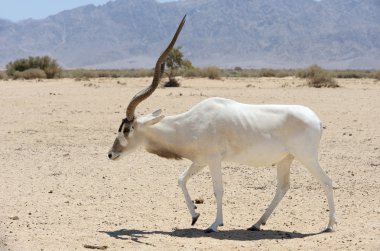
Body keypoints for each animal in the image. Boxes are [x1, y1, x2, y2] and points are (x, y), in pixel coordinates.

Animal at [108, 14, 336, 232]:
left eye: (127, 129)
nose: (111, 154)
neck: (189, 123)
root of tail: (316, 119)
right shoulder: (200, 160)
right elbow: (181, 179)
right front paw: (195, 215)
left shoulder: (214, 159)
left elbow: (218, 189)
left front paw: (214, 224)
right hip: (286, 159)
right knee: (283, 187)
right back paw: (256, 224)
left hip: (306, 156)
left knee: (326, 181)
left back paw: (330, 225)